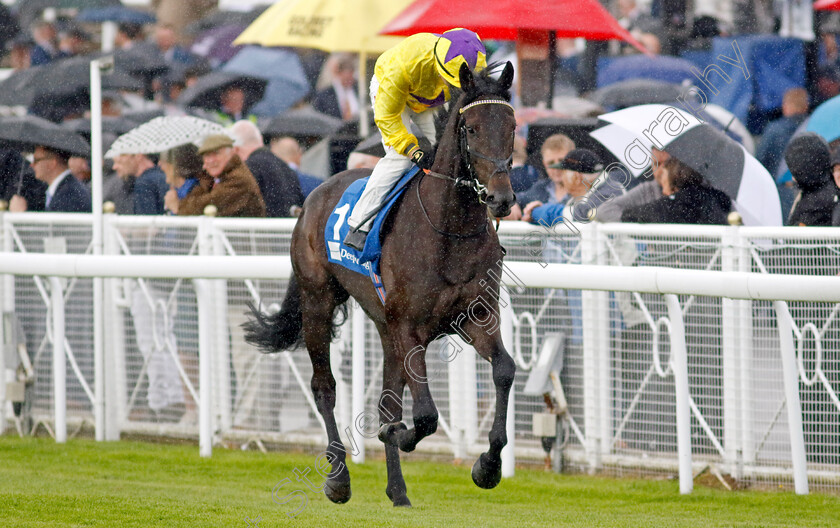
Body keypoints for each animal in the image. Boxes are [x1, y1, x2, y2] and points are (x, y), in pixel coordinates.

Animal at [243, 63, 520, 508]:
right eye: (472, 128)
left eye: (511, 127)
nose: (500, 198)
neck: (449, 229)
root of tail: (316, 193)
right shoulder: (410, 327)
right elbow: (424, 414)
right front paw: (400, 435)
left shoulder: (476, 317)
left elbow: (504, 371)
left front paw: (488, 466)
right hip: (318, 301)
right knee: (324, 387)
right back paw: (338, 478)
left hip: (384, 327)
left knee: (387, 400)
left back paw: (398, 490)